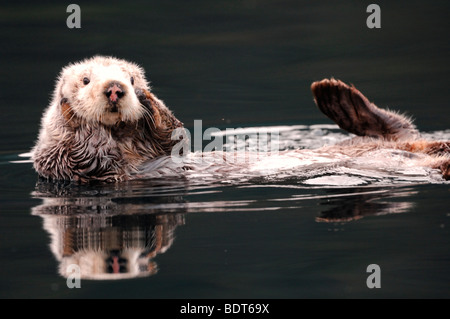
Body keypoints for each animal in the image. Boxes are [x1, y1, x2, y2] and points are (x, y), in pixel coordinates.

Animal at [30, 55, 446, 182]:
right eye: (86, 80)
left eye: (130, 79)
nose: (116, 89)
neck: (126, 139)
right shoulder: (72, 163)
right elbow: (87, 151)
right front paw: (78, 118)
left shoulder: (161, 144)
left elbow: (173, 135)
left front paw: (151, 102)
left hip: (391, 140)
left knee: (396, 128)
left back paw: (334, 96)